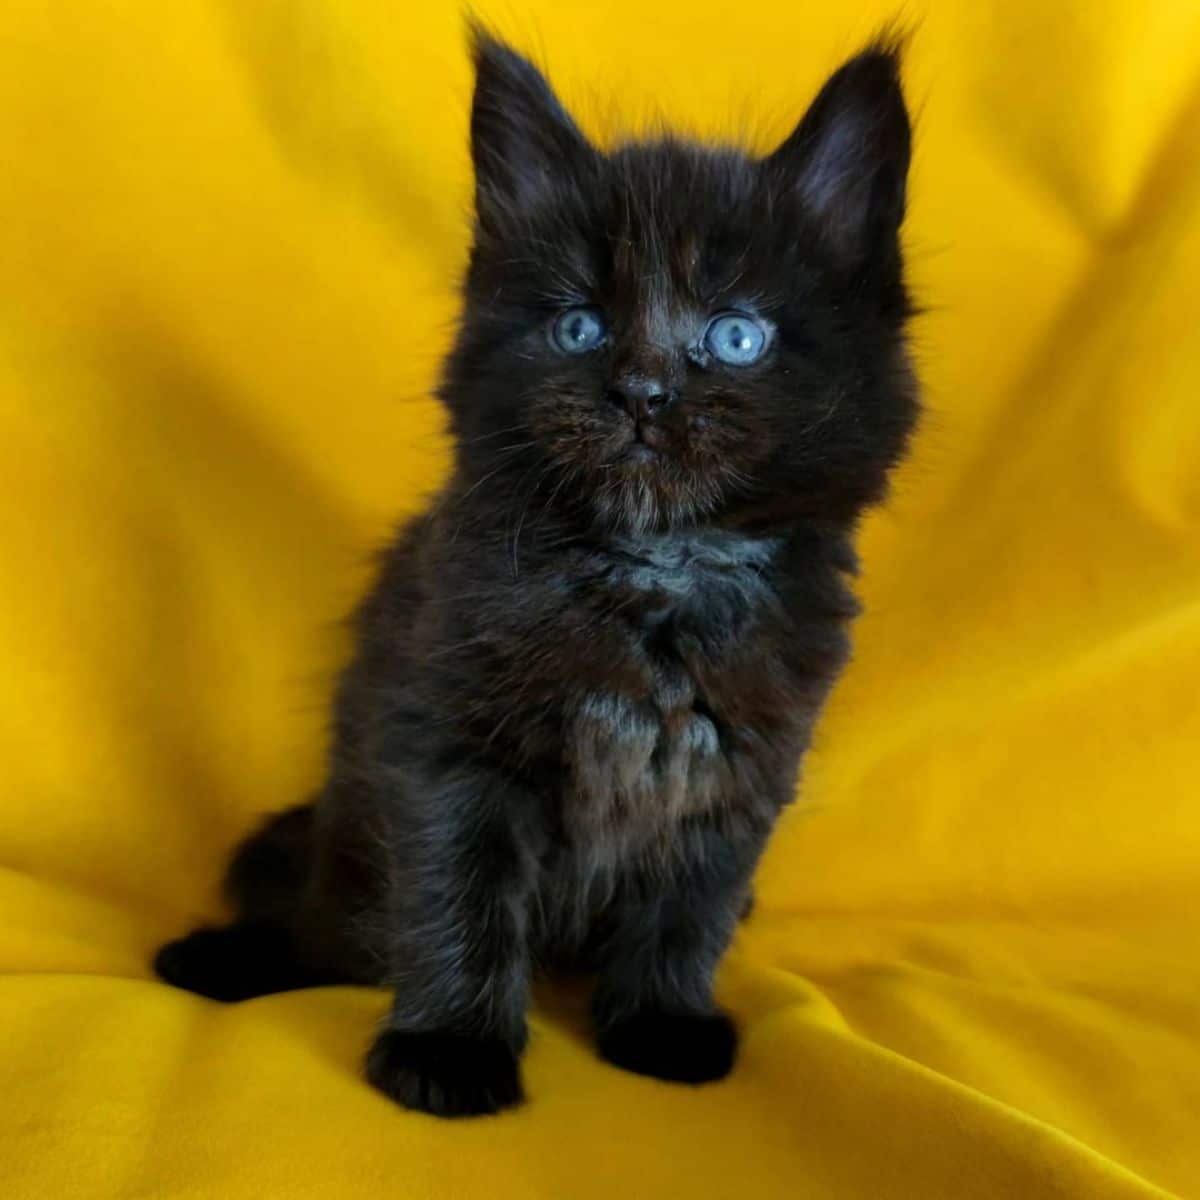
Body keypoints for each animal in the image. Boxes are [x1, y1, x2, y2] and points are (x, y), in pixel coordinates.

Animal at [152, 28, 916, 1113]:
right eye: (579, 326)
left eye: (735, 335)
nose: (641, 391)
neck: (651, 578)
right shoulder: (448, 743)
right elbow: (459, 898)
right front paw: (448, 1050)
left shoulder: (740, 764)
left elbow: (690, 907)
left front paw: (659, 1024)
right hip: (351, 824)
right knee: (329, 926)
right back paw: (229, 955)